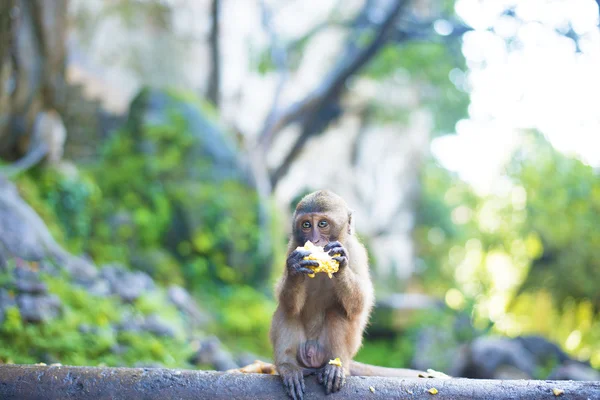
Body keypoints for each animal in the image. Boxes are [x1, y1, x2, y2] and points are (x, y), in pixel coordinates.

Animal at [270, 191, 428, 400]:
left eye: (323, 224)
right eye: (306, 225)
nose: (315, 240)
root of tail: (313, 357)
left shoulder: (356, 252)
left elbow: (360, 304)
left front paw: (341, 266)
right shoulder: (293, 247)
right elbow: (290, 304)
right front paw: (295, 267)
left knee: (337, 312)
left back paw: (336, 368)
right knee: (287, 310)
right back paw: (288, 368)